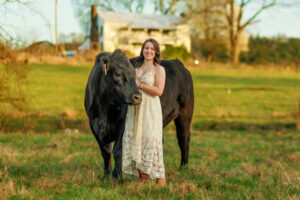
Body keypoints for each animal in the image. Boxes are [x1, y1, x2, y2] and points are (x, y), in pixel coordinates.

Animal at [84, 49, 195, 178]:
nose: (137, 97)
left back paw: (184, 167)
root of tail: (177, 62)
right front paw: (106, 175)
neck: (104, 111)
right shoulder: (93, 124)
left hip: (185, 114)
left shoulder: (124, 123)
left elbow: (117, 150)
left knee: (184, 138)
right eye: (117, 74)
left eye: (134, 74)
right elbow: (105, 151)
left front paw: (117, 176)